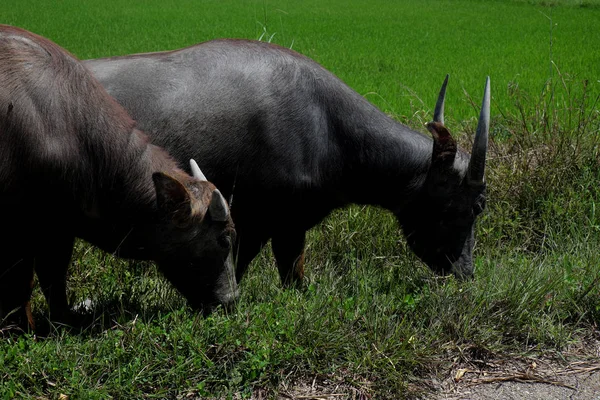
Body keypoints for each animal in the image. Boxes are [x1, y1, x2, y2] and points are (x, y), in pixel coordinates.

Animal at [0, 25, 239, 332]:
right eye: (224, 240)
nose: (230, 301)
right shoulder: (23, 228)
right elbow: (28, 280)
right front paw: (25, 327)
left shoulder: (60, 227)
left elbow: (52, 277)